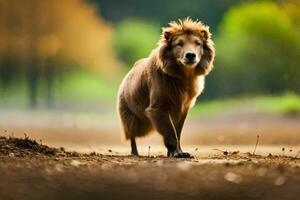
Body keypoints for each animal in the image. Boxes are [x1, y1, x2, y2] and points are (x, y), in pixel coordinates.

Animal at [116, 17, 214, 158]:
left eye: (197, 43)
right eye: (179, 43)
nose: (190, 55)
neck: (182, 77)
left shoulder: (183, 106)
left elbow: (177, 131)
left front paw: (178, 152)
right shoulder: (159, 104)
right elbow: (169, 131)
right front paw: (175, 152)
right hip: (129, 111)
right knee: (131, 132)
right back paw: (135, 152)